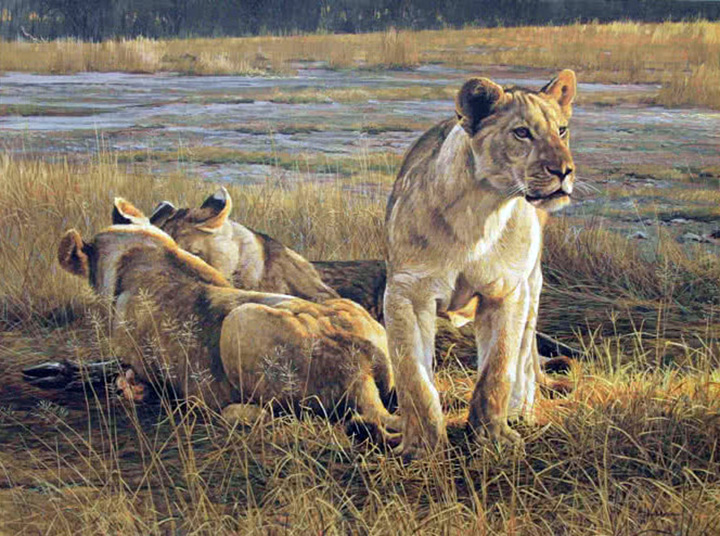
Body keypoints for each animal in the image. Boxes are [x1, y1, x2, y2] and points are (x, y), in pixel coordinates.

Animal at [384, 70, 578, 456]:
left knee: (526, 355)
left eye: (561, 130)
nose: (564, 171)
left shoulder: (506, 292)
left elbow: (498, 369)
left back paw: (522, 410)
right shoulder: (407, 293)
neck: (480, 214)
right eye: (522, 133)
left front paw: (492, 438)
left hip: (532, 288)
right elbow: (413, 374)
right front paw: (422, 447)